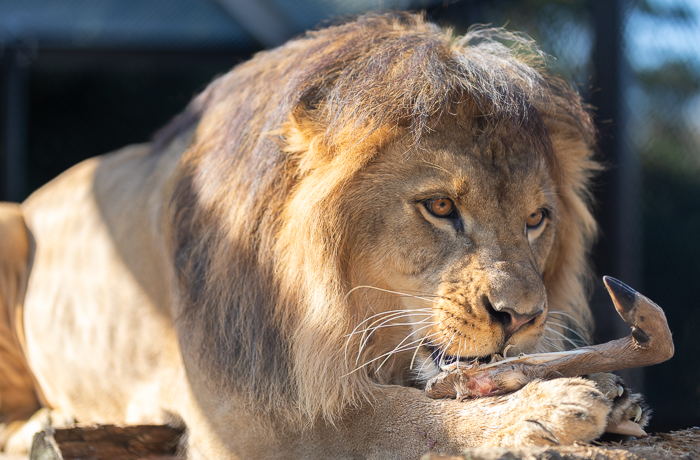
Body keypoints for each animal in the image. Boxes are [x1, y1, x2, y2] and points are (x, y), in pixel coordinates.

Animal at [0, 12, 648, 458]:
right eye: (440, 206)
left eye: (536, 220)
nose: (522, 318)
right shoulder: (244, 416)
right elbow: (399, 417)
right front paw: (546, 405)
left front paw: (604, 391)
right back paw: (50, 423)